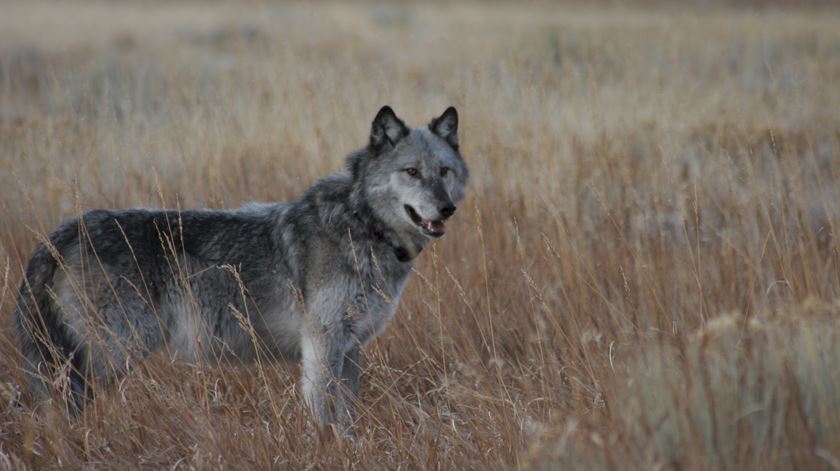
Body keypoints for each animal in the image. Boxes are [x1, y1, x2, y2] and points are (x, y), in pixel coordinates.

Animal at [13, 106, 470, 436]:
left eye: (444, 171)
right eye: (412, 172)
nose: (447, 208)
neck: (362, 225)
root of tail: (62, 232)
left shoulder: (351, 347)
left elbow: (346, 414)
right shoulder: (322, 345)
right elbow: (326, 415)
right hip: (109, 354)